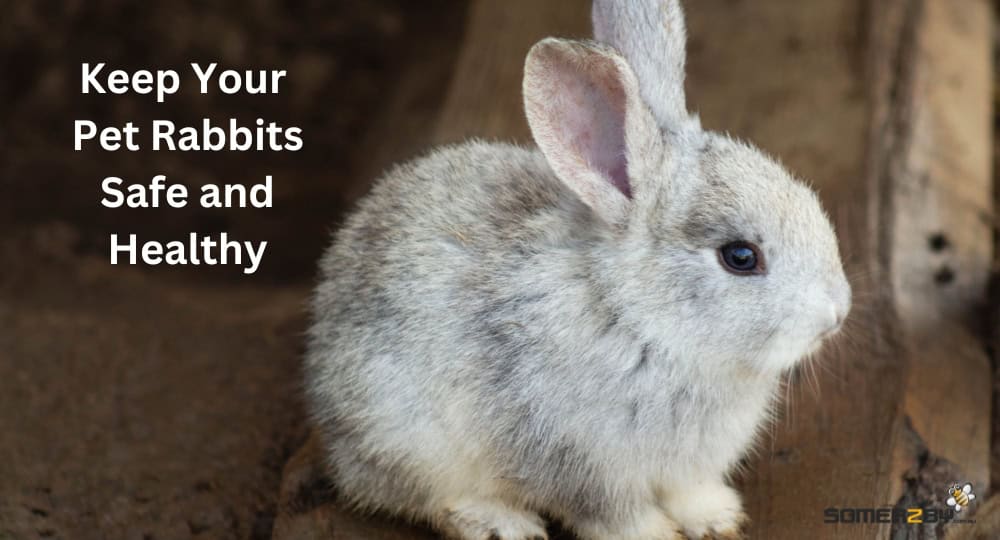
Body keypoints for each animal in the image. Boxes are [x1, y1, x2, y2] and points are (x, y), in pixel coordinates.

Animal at [305, 0, 851, 539]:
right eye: (740, 257)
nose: (836, 314)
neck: (639, 319)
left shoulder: (686, 468)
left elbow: (689, 492)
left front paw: (718, 518)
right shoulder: (579, 462)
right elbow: (612, 514)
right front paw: (658, 534)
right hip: (408, 438)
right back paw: (502, 523)